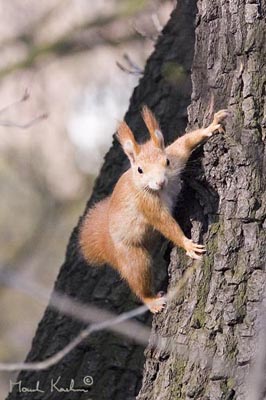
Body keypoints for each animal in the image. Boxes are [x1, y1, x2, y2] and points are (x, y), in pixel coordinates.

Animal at [79, 106, 229, 312]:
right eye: (140, 170)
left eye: (166, 161)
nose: (160, 182)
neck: (160, 189)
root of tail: (107, 244)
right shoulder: (146, 204)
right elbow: (164, 223)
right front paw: (188, 244)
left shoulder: (177, 156)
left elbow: (185, 142)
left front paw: (211, 126)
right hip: (132, 256)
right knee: (138, 279)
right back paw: (152, 301)